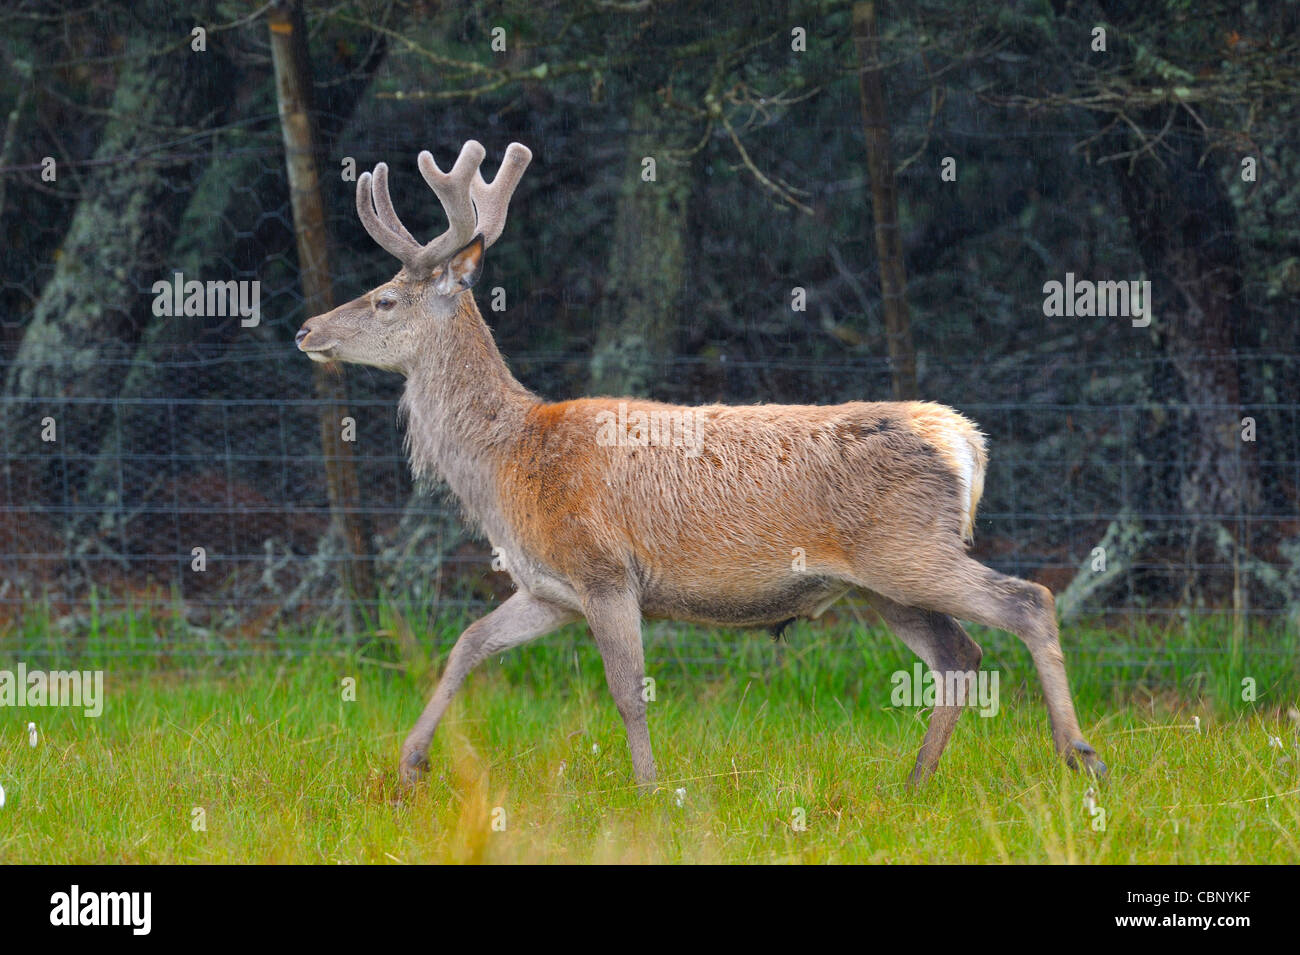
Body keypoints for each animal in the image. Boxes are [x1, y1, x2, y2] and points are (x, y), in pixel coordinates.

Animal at [297, 140, 1107, 789]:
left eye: (385, 298)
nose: (306, 329)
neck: (508, 465)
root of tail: (965, 440)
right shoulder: (549, 587)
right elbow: (468, 643)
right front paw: (410, 762)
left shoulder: (603, 568)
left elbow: (627, 688)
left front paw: (651, 790)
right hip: (883, 580)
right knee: (958, 653)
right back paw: (914, 781)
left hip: (908, 550)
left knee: (1029, 600)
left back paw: (1078, 754)